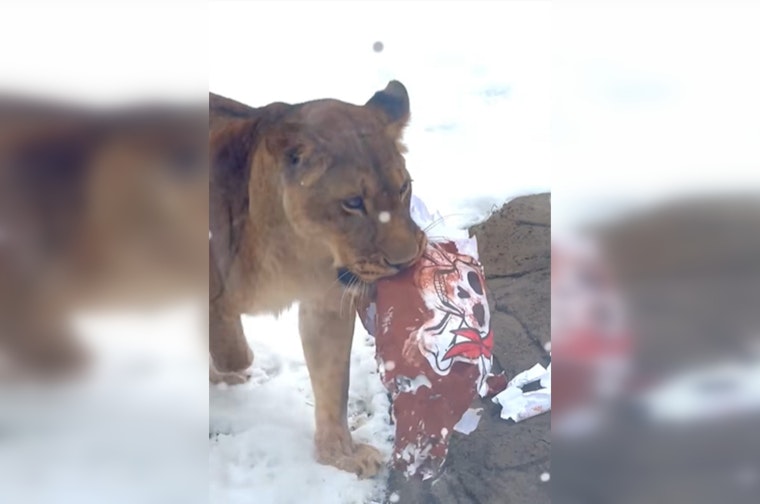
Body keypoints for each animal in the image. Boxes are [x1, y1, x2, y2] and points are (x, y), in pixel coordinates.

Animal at [208, 81, 427, 478]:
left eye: (404, 188)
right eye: (353, 202)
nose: (405, 262)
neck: (296, 251)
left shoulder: (326, 303)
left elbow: (332, 382)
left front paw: (340, 454)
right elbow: (232, 347)